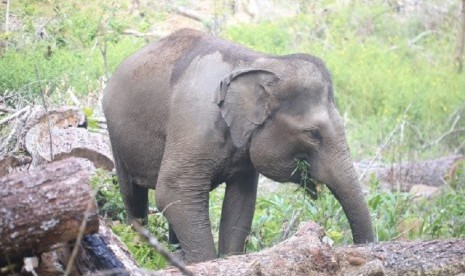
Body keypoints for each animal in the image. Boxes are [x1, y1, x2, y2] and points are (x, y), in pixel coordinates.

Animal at [102, 29, 374, 264]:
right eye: (313, 134)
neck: (262, 62)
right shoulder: (195, 123)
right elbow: (173, 191)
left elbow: (240, 205)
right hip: (116, 135)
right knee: (133, 193)